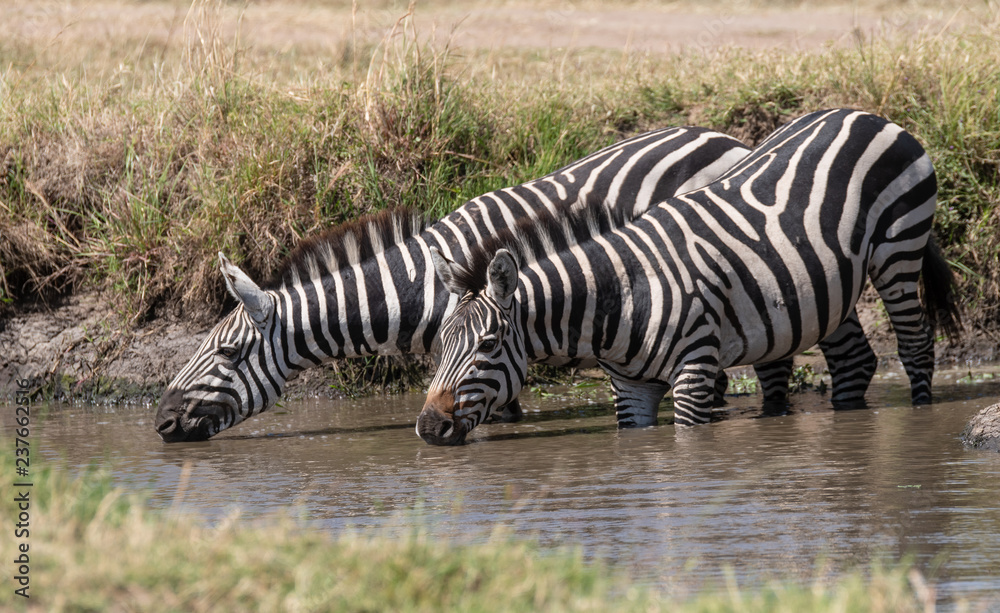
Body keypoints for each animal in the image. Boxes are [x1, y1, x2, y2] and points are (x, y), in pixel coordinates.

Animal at [416, 108, 961, 445]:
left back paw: (921, 420)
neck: (619, 299)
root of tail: (867, 114)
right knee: (854, 358)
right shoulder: (630, 389)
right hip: (824, 285)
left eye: (487, 345)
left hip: (898, 247)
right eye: (439, 345)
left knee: (915, 346)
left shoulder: (695, 372)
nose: (427, 427)